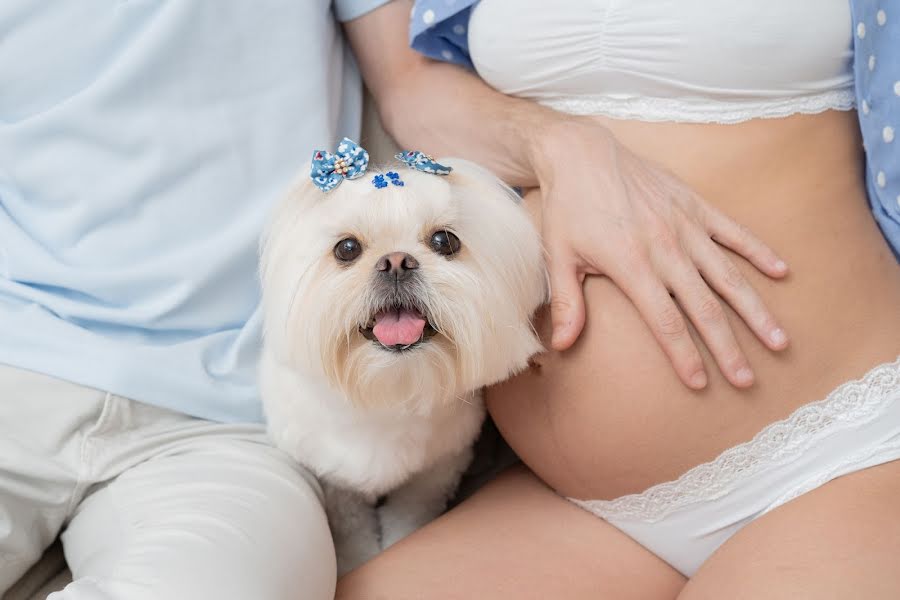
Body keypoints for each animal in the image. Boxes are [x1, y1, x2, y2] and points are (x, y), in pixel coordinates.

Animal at [256, 142, 544, 576]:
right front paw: (357, 560)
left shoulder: (433, 472)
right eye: (347, 248)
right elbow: (350, 527)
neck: (387, 392)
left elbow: (409, 518)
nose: (396, 262)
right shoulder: (332, 478)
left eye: (444, 241)